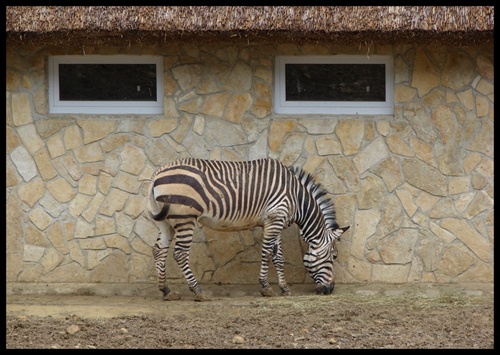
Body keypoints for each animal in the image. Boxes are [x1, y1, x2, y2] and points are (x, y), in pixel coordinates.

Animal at [146, 157, 348, 302]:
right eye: (334, 256)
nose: (330, 290)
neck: (297, 198)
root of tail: (156, 174)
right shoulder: (275, 219)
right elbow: (267, 253)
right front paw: (266, 287)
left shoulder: (276, 222)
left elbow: (278, 257)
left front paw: (285, 288)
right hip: (185, 219)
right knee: (179, 253)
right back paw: (198, 292)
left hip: (166, 221)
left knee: (159, 251)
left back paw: (166, 291)